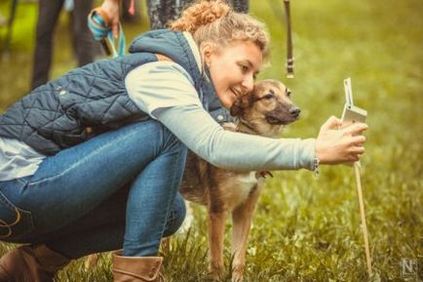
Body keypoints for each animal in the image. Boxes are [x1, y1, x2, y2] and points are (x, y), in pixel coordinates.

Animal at [181, 78, 300, 280]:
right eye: (268, 96)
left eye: (288, 93)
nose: (296, 111)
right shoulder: (217, 210)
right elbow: (217, 261)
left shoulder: (244, 210)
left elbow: (238, 260)